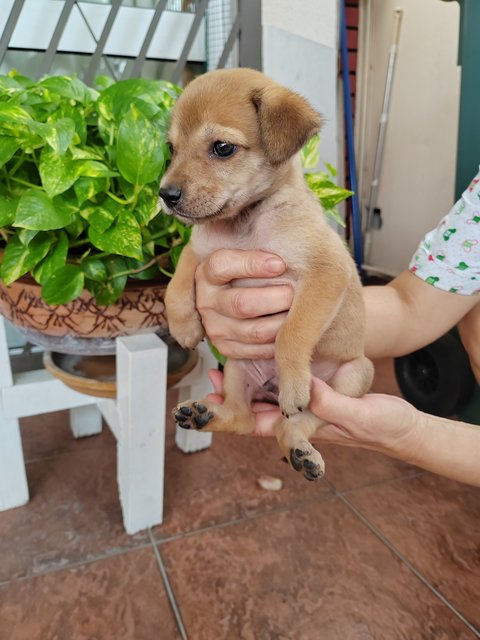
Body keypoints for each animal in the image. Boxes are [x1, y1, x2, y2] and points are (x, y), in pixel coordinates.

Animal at [159, 70, 374, 480]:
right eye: (171, 148)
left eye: (222, 148)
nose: (166, 195)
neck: (245, 225)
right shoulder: (201, 250)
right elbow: (175, 286)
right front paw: (185, 327)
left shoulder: (328, 272)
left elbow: (292, 332)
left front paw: (294, 384)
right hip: (236, 367)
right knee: (244, 419)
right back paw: (203, 414)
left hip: (354, 375)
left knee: (291, 424)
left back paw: (300, 448)